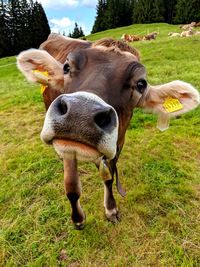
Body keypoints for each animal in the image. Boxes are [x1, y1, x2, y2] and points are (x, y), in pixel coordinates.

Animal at [16, 34, 200, 230]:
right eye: (66, 67)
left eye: (140, 84)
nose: (80, 113)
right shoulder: (68, 148)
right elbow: (72, 187)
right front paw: (78, 219)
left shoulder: (118, 144)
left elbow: (109, 178)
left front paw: (111, 209)